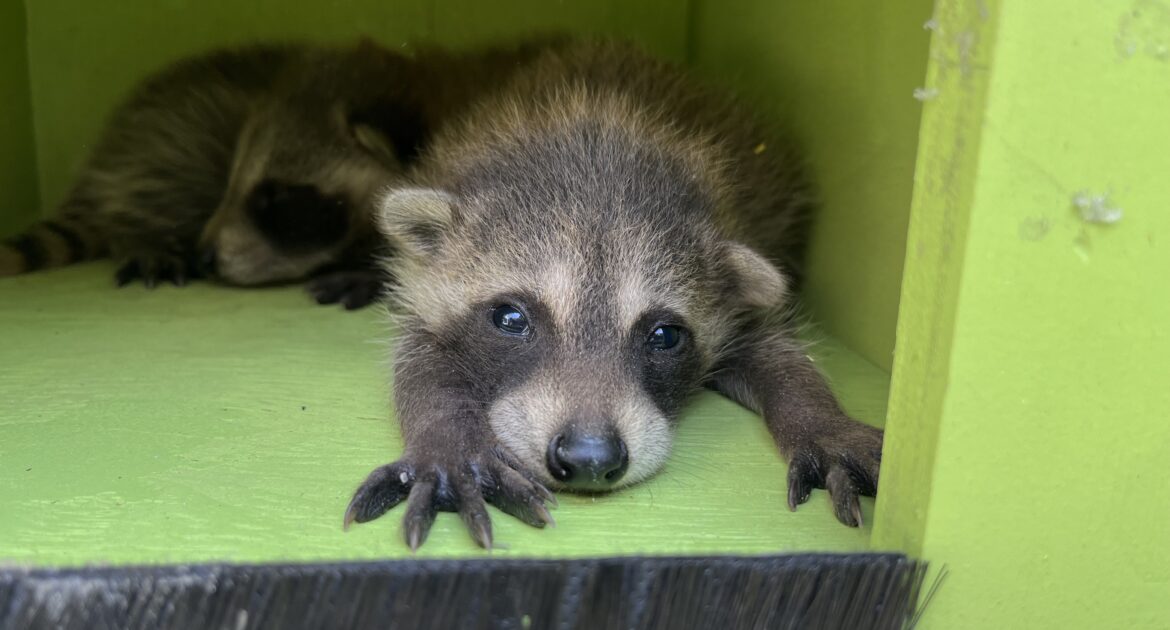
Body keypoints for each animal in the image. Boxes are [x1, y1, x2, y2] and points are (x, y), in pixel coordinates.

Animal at [341, 40, 879, 548]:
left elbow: (776, 348)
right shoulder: (421, 284)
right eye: (511, 319)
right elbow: (419, 358)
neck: (596, 139)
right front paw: (449, 441)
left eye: (664, 335)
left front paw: (820, 419)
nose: (589, 457)